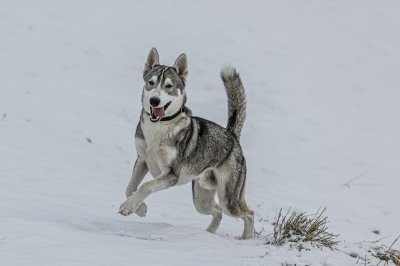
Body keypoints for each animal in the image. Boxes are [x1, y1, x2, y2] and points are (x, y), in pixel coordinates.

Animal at [119, 47, 255, 239]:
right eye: (151, 83)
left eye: (169, 86)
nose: (154, 101)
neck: (159, 128)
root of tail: (232, 135)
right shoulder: (142, 160)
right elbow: (130, 187)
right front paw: (139, 208)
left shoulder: (171, 175)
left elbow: (146, 186)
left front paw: (131, 206)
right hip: (201, 198)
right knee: (218, 211)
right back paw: (208, 235)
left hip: (228, 199)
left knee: (249, 214)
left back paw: (245, 239)